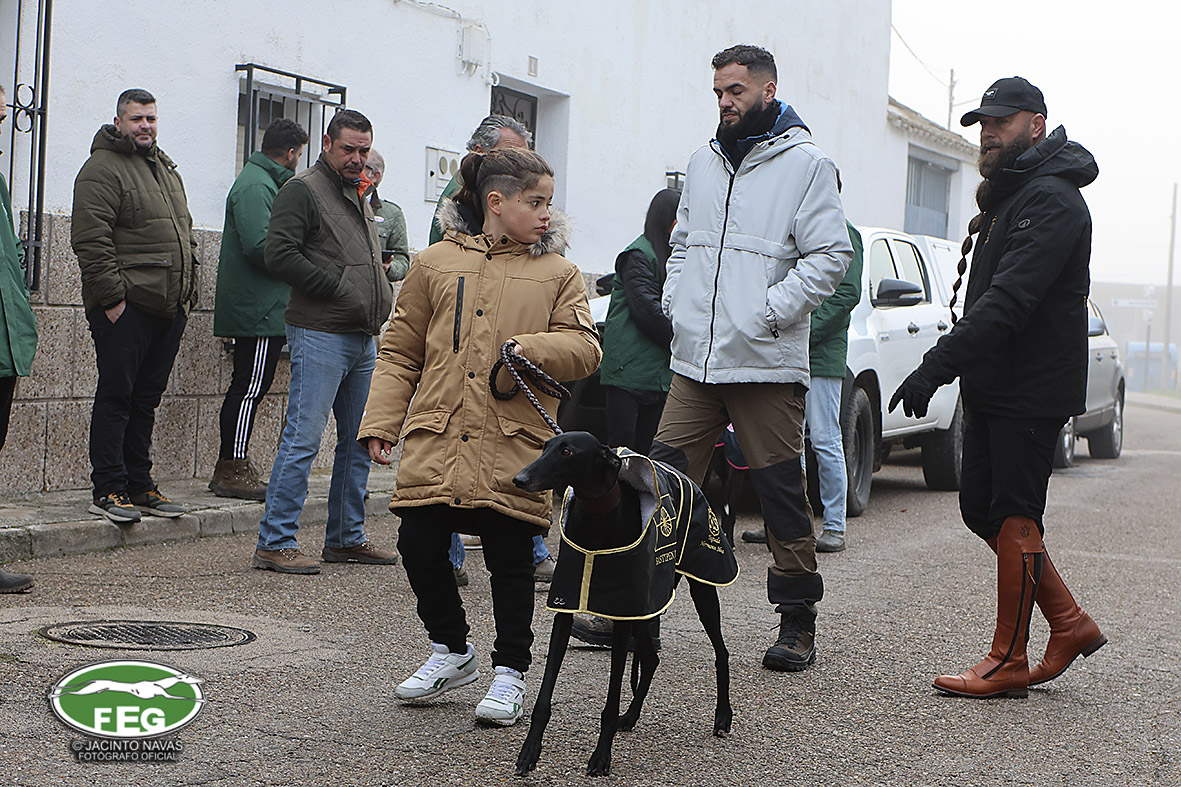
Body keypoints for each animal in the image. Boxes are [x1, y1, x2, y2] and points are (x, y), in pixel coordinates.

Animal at [512, 431, 737, 777]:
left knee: (720, 652)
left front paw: (601, 756)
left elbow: (612, 695)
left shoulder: (620, 612)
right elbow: (544, 695)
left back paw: (723, 715)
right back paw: (631, 716)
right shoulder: (566, 609)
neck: (598, 517)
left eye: (567, 451)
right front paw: (529, 752)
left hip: (700, 588)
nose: (520, 479)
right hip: (647, 604)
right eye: (546, 446)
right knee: (651, 658)